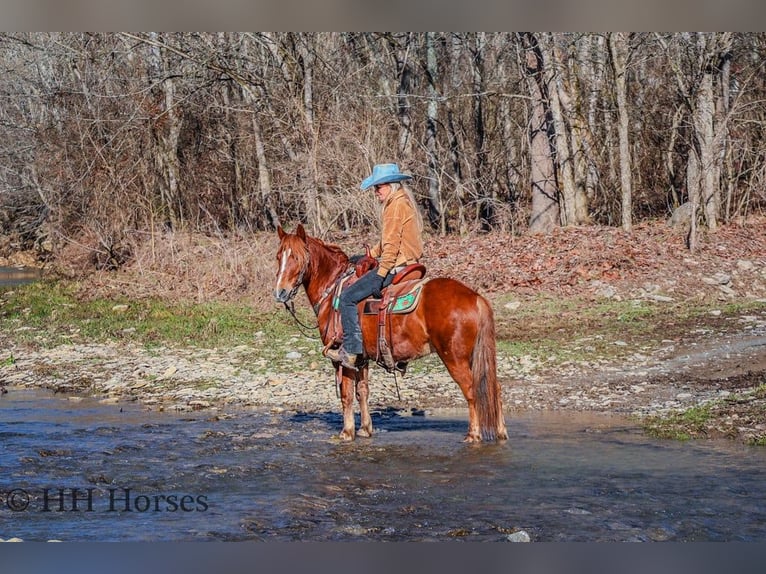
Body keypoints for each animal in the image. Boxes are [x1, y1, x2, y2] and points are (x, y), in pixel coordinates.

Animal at [272, 225, 508, 446]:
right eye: (278, 256)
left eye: (296, 257)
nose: (280, 292)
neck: (332, 292)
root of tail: (475, 297)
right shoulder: (361, 358)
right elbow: (362, 391)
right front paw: (365, 429)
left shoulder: (341, 357)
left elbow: (347, 395)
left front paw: (346, 432)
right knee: (494, 387)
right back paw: (500, 432)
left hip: (454, 357)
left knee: (471, 389)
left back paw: (473, 434)